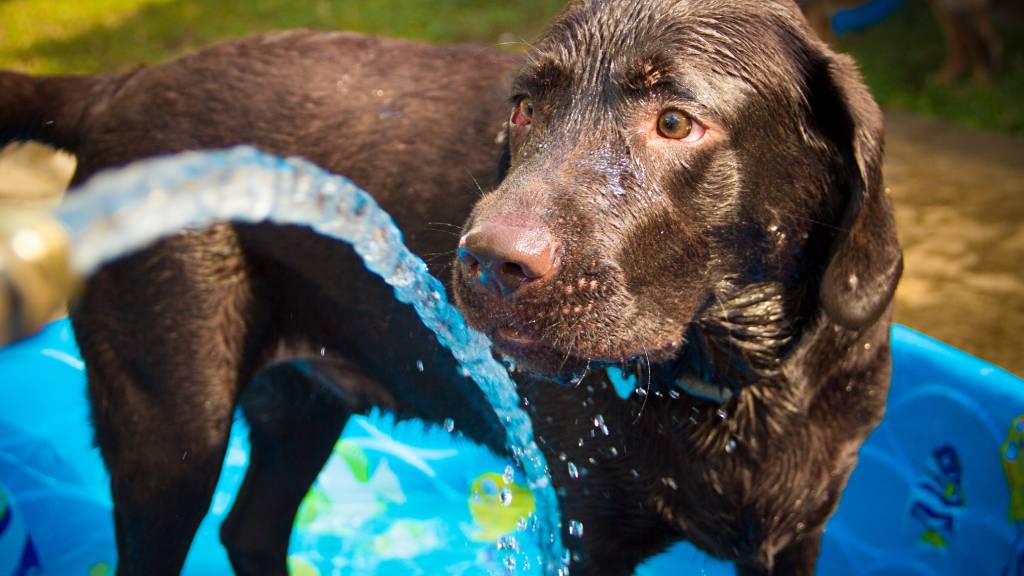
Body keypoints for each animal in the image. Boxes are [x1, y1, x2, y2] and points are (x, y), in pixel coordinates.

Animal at [0, 1, 901, 573]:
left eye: (676, 122)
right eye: (525, 108)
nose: (486, 261)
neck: (736, 384)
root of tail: (119, 82)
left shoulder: (797, 538)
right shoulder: (585, 526)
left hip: (302, 403)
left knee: (252, 530)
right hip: (172, 436)